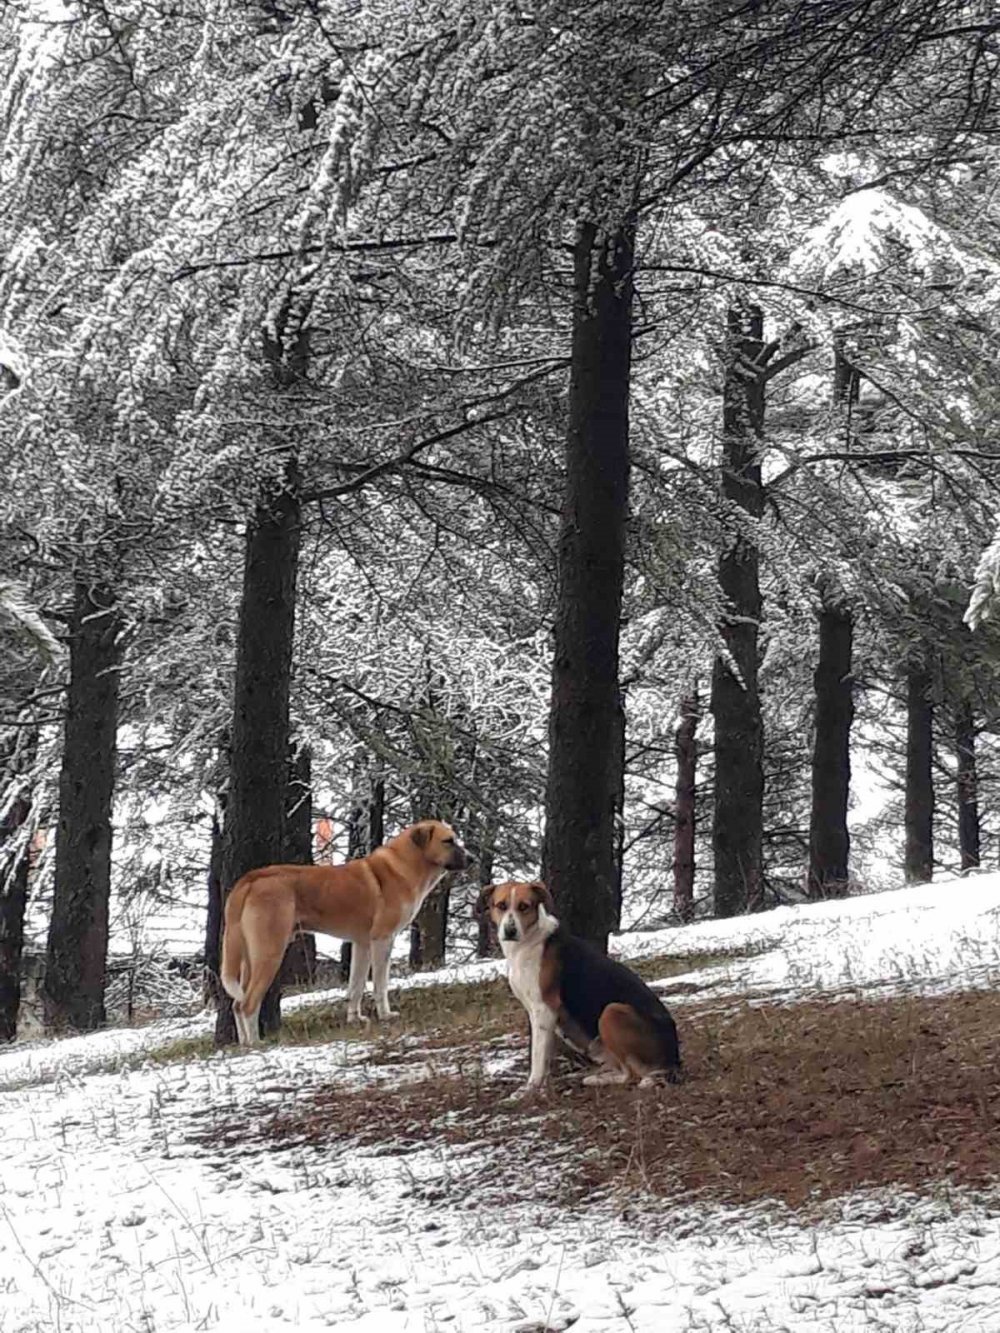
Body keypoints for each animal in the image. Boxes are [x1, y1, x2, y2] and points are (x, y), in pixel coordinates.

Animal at [221, 815, 469, 1045]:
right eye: (448, 841)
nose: (472, 858)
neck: (405, 865)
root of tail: (251, 879)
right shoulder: (383, 939)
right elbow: (380, 985)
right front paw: (385, 1015)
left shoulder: (362, 944)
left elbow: (356, 987)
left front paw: (355, 1019)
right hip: (269, 953)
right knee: (248, 1004)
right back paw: (256, 1043)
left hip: (248, 959)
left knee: (236, 1004)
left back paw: (244, 1044)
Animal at [482, 874, 682, 1093]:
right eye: (501, 905)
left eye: (524, 906)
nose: (510, 931)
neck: (527, 941)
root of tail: (674, 1059)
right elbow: (545, 1056)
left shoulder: (543, 1009)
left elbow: (537, 1056)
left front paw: (531, 1088)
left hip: (611, 1011)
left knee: (631, 1075)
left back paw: (599, 1079)